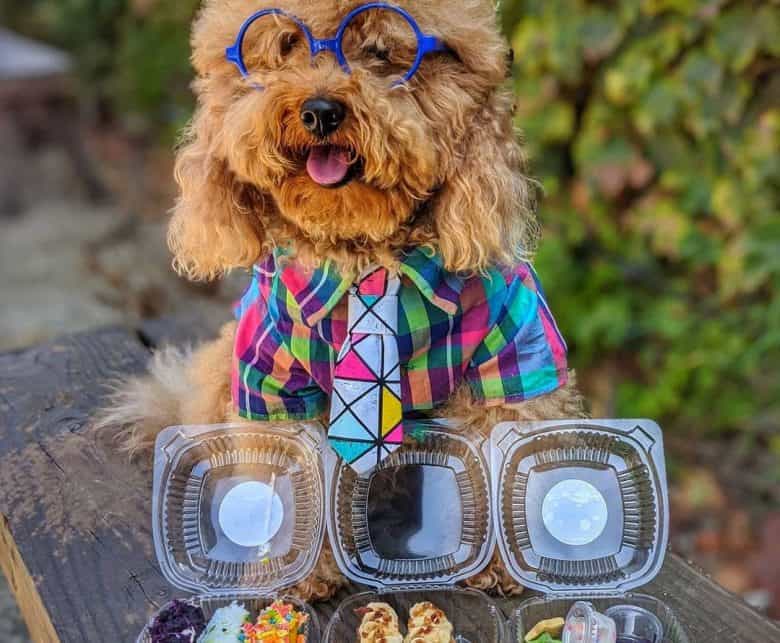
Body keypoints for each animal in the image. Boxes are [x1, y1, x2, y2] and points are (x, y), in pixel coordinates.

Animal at [108, 0, 584, 600]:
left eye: (379, 51)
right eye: (285, 45)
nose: (319, 111)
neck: (365, 257)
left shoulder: (513, 356)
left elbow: (501, 446)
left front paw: (499, 562)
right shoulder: (270, 378)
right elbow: (293, 470)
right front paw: (297, 570)